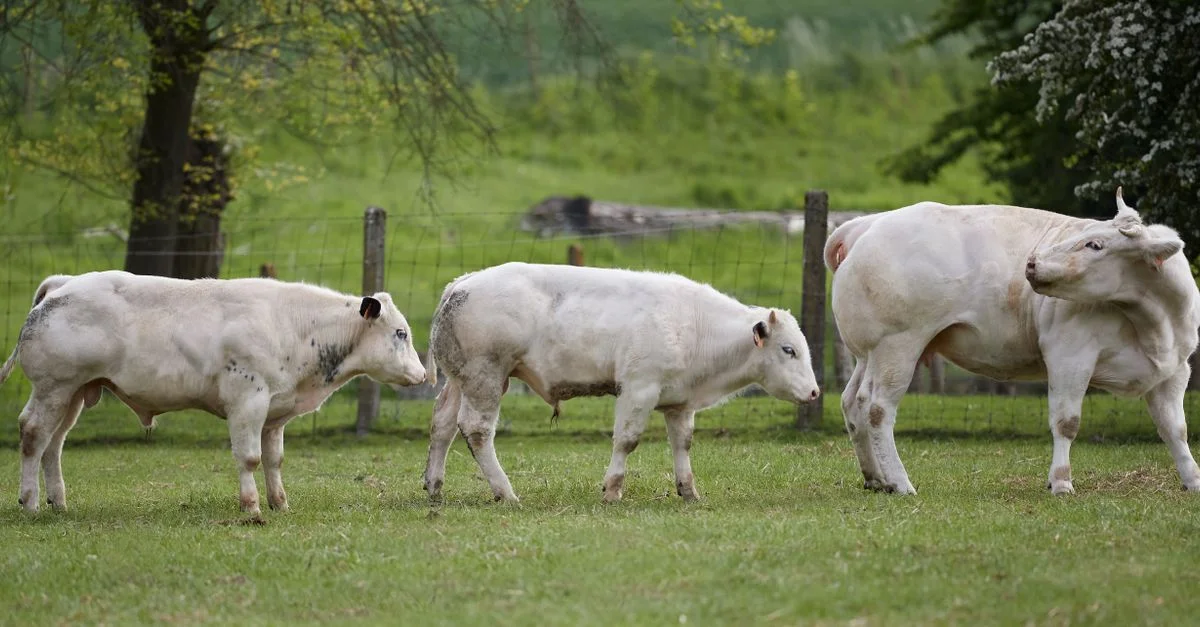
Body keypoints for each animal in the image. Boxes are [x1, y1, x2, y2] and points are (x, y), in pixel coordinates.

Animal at [0, 270, 426, 515]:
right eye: (401, 333)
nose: (423, 374)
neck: (293, 326)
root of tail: (64, 283)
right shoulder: (247, 401)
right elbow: (250, 459)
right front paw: (252, 509)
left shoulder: (274, 413)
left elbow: (274, 460)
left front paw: (280, 503)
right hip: (53, 388)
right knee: (33, 435)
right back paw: (30, 502)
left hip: (73, 394)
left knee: (54, 445)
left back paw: (58, 502)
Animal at [421, 262, 821, 504]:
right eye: (789, 350)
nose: (815, 392)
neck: (695, 324)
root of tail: (462, 282)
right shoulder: (638, 389)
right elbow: (626, 441)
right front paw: (612, 490)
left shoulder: (679, 403)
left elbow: (682, 444)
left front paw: (688, 490)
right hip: (486, 379)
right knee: (476, 431)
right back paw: (505, 492)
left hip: (461, 382)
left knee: (443, 425)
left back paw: (434, 487)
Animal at [825, 188, 1200, 495]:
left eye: (1095, 244)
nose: (1031, 262)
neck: (1152, 321)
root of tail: (870, 222)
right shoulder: (1070, 357)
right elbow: (1066, 421)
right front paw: (1061, 481)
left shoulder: (1175, 369)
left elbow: (1176, 428)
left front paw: (1192, 479)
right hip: (897, 346)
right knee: (877, 409)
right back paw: (900, 482)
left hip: (868, 354)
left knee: (853, 402)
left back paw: (876, 478)